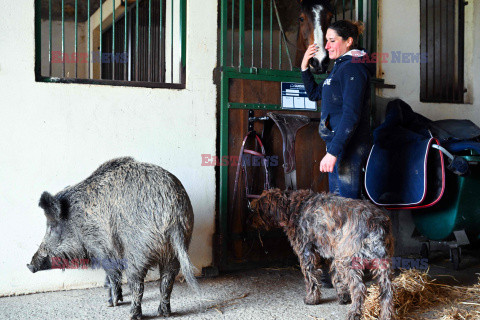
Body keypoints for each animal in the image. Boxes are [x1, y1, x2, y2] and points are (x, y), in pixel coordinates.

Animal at [27, 156, 197, 318]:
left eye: (52, 227)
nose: (29, 265)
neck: (78, 222)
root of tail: (172, 213)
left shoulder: (101, 249)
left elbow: (113, 274)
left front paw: (111, 303)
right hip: (176, 251)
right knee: (167, 281)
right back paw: (164, 313)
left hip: (137, 252)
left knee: (138, 283)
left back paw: (132, 314)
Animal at [248, 189, 394, 320]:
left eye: (255, 210)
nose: (249, 222)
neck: (293, 208)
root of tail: (376, 223)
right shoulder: (332, 255)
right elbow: (337, 278)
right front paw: (343, 296)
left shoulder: (307, 252)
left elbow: (311, 278)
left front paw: (311, 299)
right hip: (381, 263)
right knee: (387, 291)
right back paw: (386, 316)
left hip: (348, 261)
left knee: (359, 289)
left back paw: (354, 313)